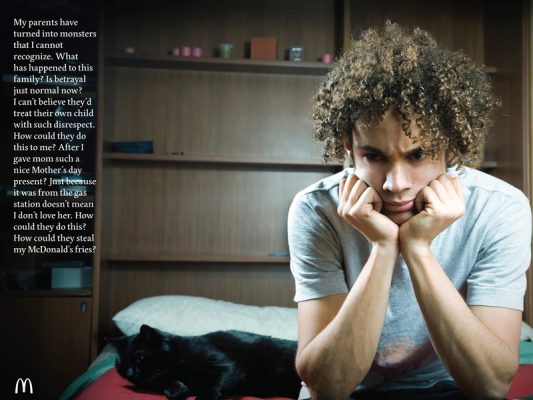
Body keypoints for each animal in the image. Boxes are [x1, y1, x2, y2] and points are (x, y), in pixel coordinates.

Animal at [106, 324, 302, 400]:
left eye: (140, 357)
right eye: (122, 367)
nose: (131, 373)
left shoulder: (226, 367)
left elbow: (211, 386)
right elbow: (168, 386)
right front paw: (178, 389)